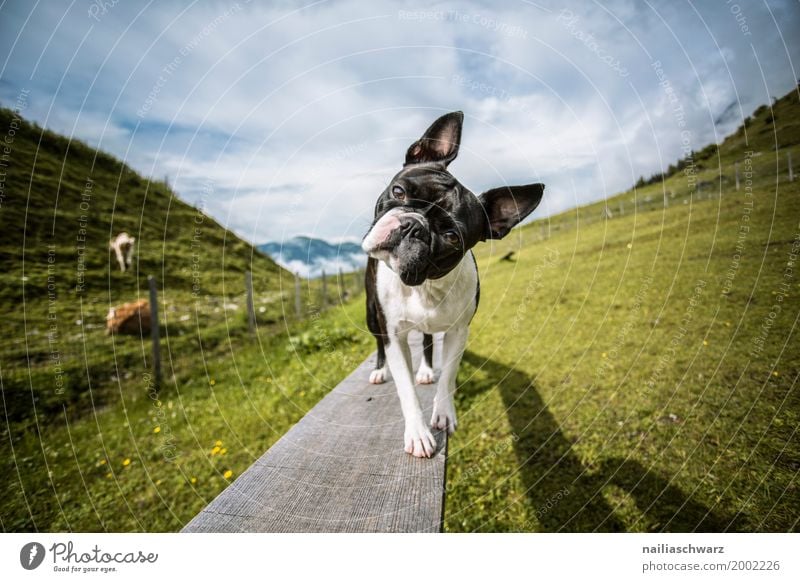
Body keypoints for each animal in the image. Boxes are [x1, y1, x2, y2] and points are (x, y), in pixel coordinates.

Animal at [362, 113, 544, 460]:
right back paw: (380, 371)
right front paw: (418, 433)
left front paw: (444, 413)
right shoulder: (393, 333)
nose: (412, 226)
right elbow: (405, 388)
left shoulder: (459, 331)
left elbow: (448, 375)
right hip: (370, 313)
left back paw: (426, 370)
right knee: (379, 345)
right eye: (398, 191)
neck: (424, 285)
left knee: (428, 343)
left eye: (450, 237)